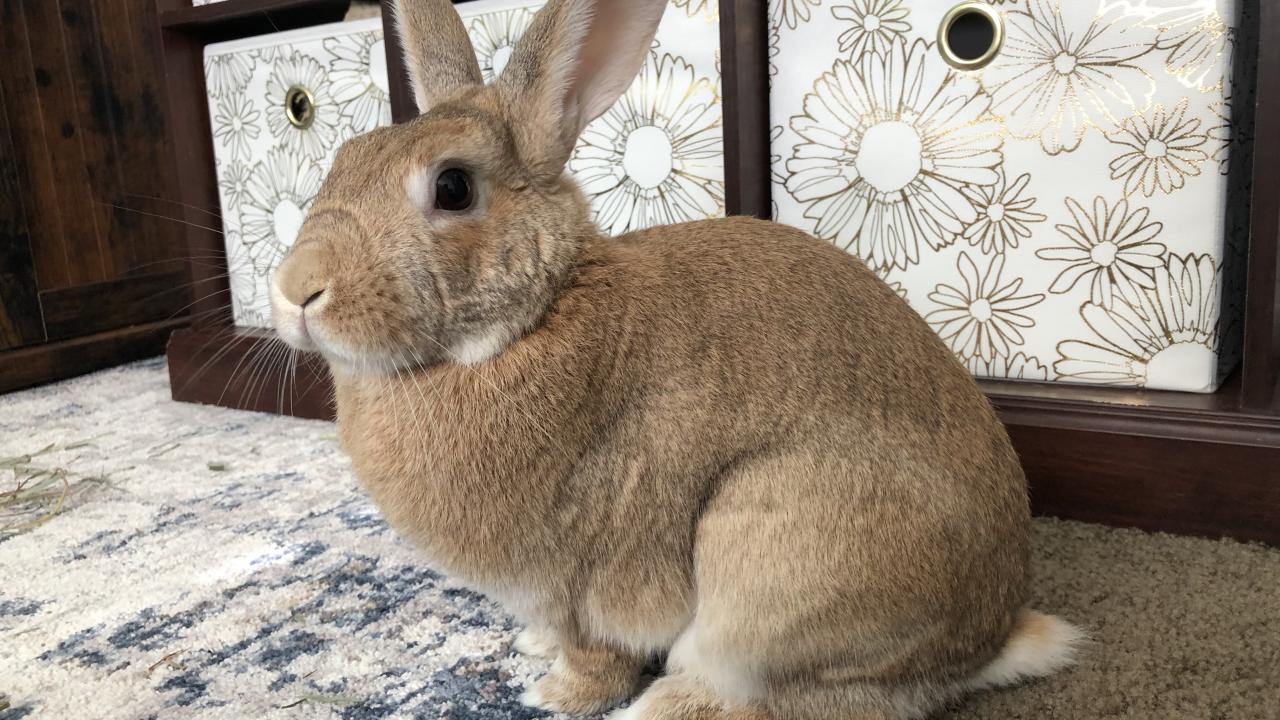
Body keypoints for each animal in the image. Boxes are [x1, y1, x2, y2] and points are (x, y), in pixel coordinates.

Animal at [268, 0, 1084, 717]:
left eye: (453, 186)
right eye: (344, 158)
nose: (296, 290)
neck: (534, 317)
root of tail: (985, 643)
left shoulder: (583, 581)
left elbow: (597, 652)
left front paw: (555, 695)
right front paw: (533, 650)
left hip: (770, 572)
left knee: (803, 699)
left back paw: (662, 707)